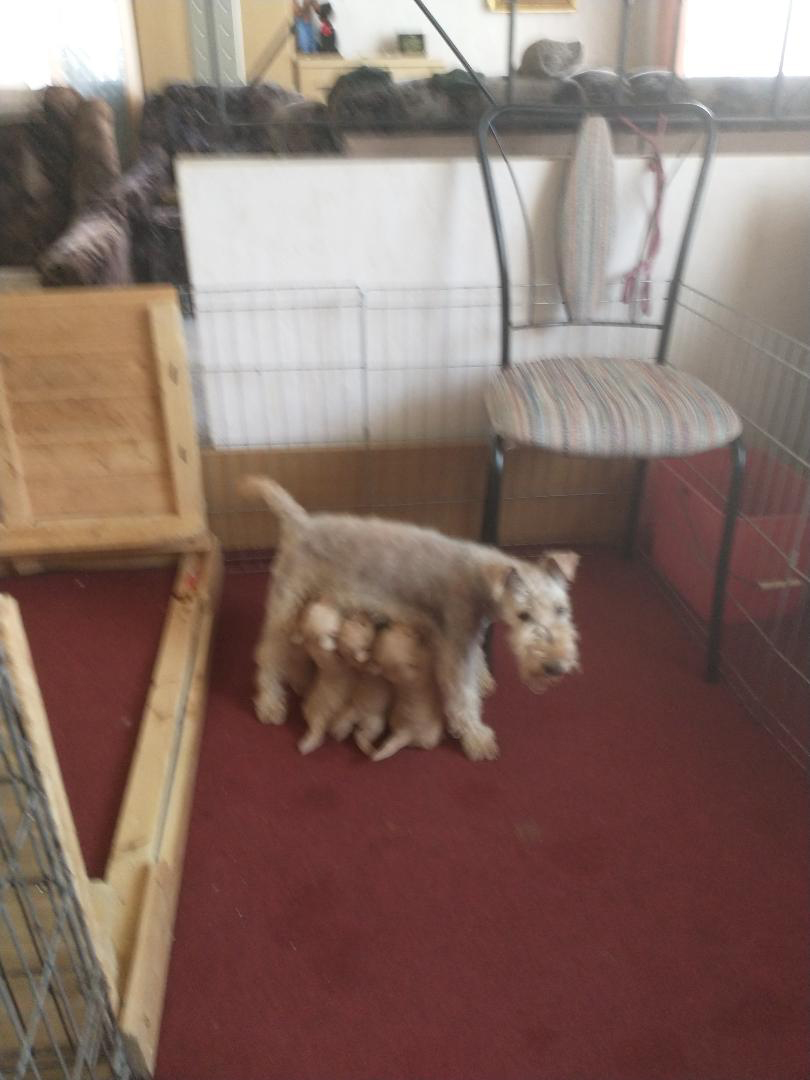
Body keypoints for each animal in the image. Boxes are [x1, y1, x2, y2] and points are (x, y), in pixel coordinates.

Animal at [242, 477, 580, 761]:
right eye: (524, 615)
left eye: (561, 608)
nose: (554, 667)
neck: (480, 581)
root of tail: (299, 522)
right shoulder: (454, 648)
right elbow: (463, 697)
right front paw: (478, 739)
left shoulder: (469, 636)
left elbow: (477, 667)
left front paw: (484, 679)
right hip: (285, 605)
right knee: (268, 657)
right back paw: (270, 704)